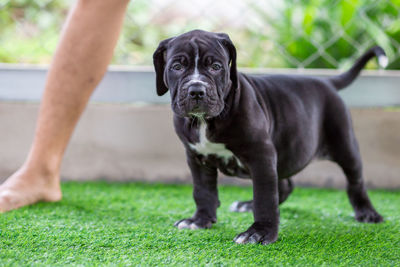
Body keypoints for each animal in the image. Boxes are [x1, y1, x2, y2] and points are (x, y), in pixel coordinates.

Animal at [153, 30, 384, 246]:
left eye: (216, 67)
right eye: (177, 67)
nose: (196, 90)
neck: (205, 122)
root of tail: (326, 82)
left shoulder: (261, 154)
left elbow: (265, 197)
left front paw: (259, 232)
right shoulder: (196, 158)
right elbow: (203, 190)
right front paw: (200, 220)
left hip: (344, 144)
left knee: (355, 181)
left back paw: (367, 213)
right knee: (284, 183)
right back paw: (247, 204)